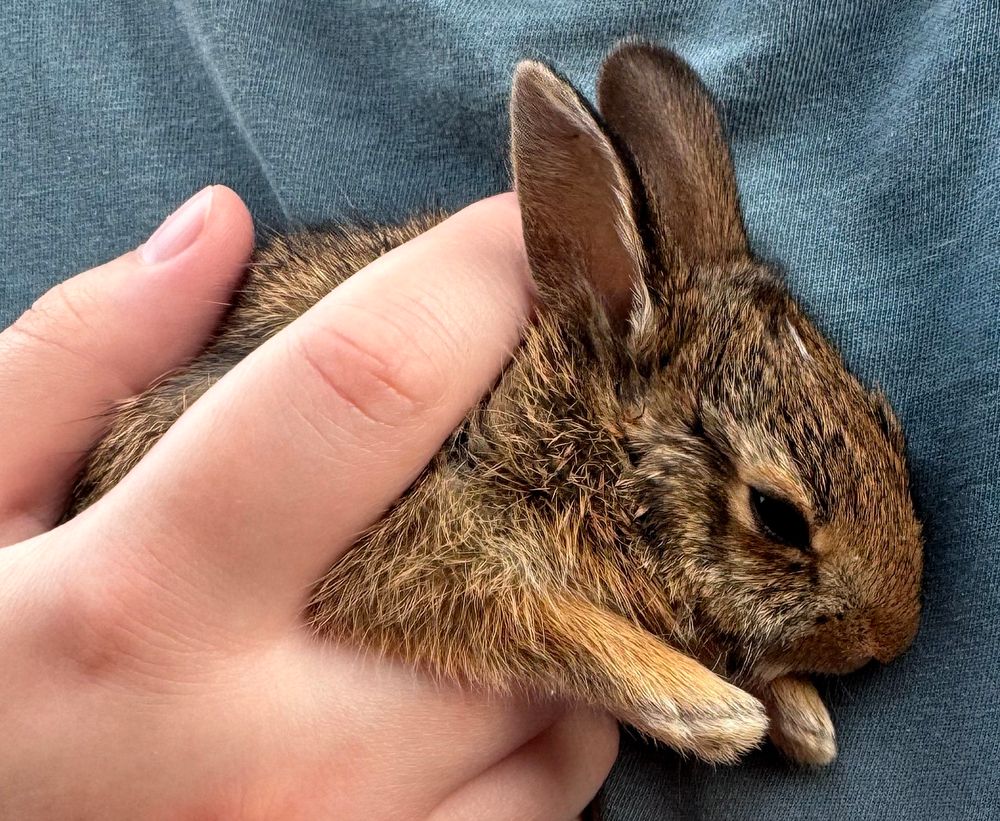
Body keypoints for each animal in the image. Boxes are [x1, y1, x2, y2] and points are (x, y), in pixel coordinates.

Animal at [67, 42, 923, 766]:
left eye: (887, 427)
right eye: (777, 515)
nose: (893, 634)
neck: (577, 424)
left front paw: (799, 714)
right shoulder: (418, 537)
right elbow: (528, 616)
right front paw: (707, 707)